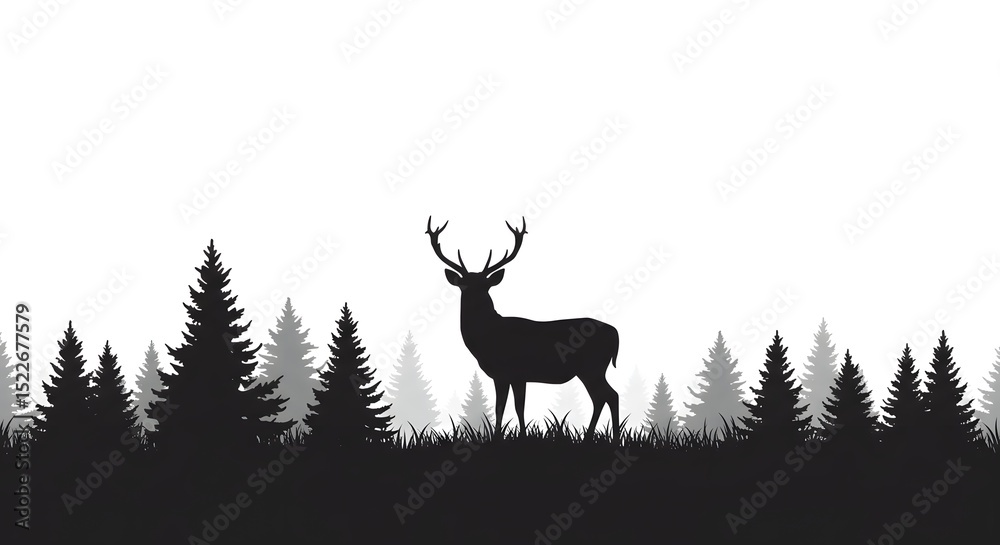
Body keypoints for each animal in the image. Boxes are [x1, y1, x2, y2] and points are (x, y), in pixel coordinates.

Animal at [426, 216, 621, 442]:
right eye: (463, 285)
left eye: (485, 286)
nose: (474, 300)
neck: (486, 338)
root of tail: (616, 334)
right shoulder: (510, 376)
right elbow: (508, 406)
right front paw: (509, 436)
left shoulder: (511, 372)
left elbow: (511, 406)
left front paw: (511, 438)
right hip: (592, 369)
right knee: (602, 397)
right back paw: (592, 437)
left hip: (592, 366)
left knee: (609, 395)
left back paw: (612, 438)